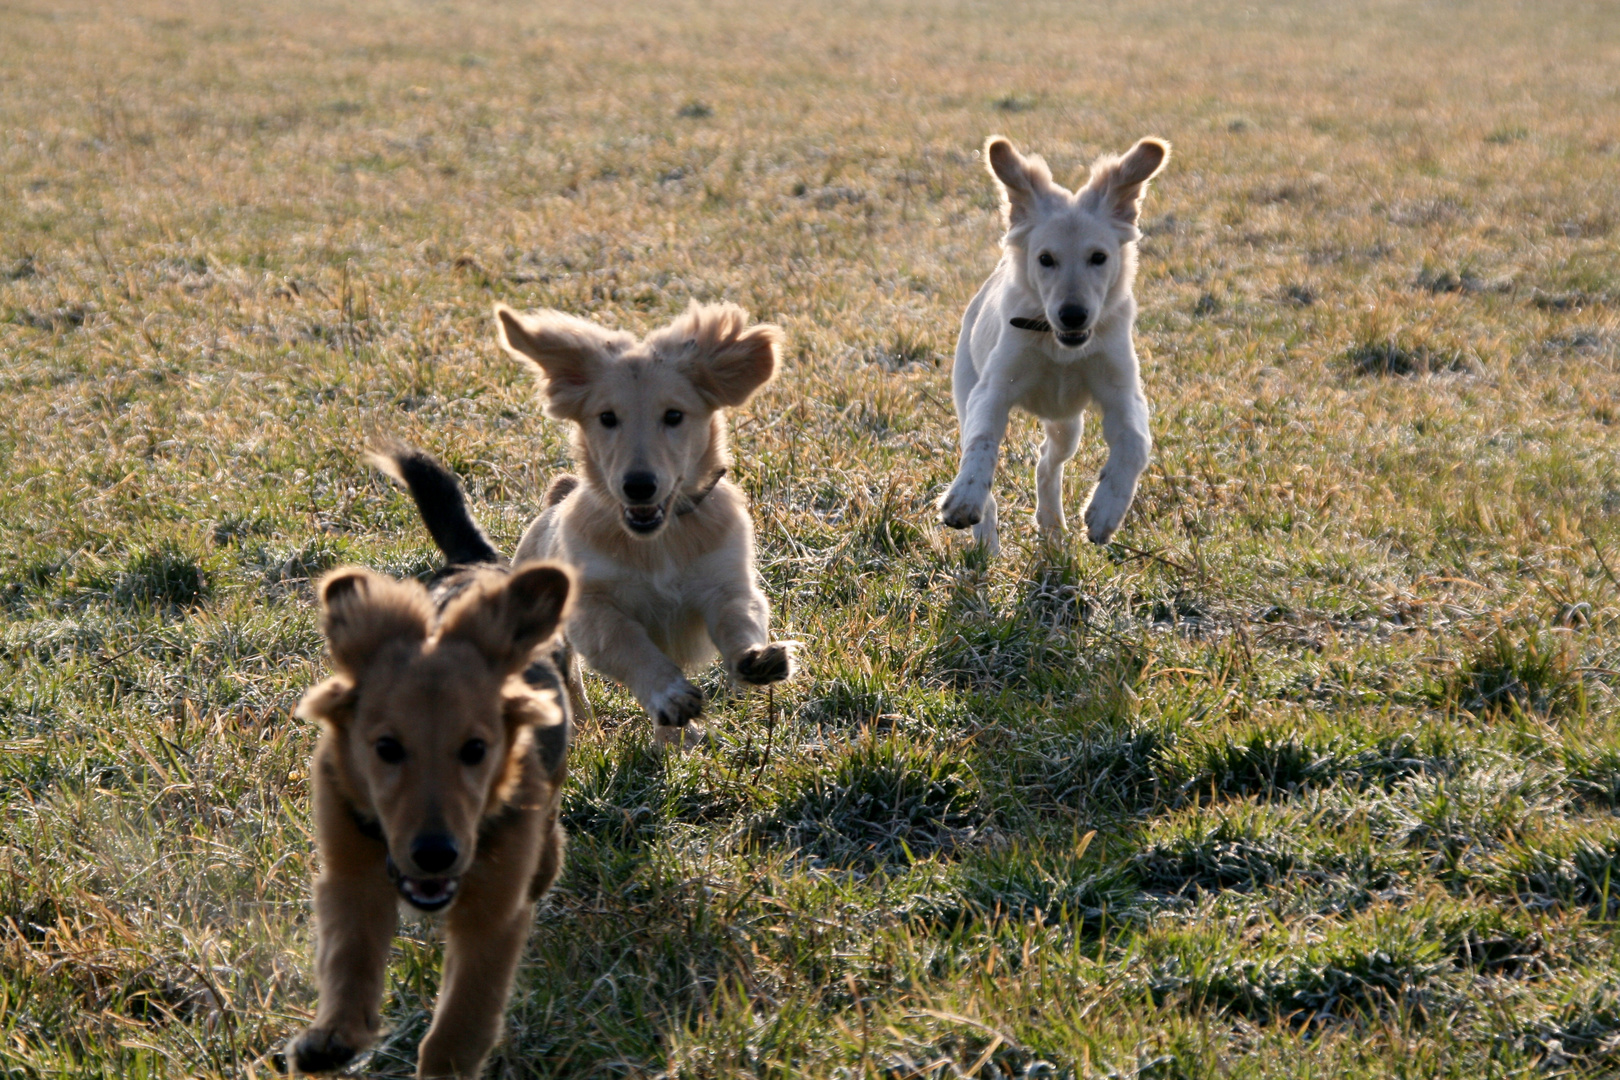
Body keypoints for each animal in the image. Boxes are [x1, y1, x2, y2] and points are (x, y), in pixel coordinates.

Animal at [291, 537, 576, 1075]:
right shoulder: (349, 874)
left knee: (549, 842)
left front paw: (444, 1067)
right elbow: (348, 957)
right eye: (386, 748)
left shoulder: (493, 913)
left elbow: (464, 1014)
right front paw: (335, 1033)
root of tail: (475, 560)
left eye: (475, 749)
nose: (435, 854)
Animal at [495, 299, 793, 748]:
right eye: (607, 417)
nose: (638, 486)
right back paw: (586, 729)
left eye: (673, 416)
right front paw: (668, 694)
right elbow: (629, 643)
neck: (658, 542)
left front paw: (754, 659)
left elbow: (738, 619)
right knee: (570, 682)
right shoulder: (591, 609)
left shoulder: (727, 583)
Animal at [946, 135, 1172, 557]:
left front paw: (1105, 512)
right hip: (966, 391)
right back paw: (986, 539)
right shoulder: (992, 391)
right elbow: (982, 444)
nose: (1073, 315)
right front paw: (965, 498)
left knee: (1047, 464)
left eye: (1098, 257)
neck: (1059, 348)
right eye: (1045, 259)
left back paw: (1052, 526)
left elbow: (1135, 443)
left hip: (1068, 425)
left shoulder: (1123, 393)